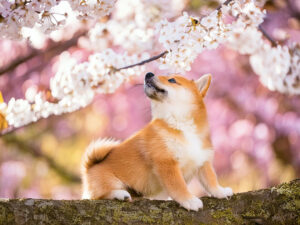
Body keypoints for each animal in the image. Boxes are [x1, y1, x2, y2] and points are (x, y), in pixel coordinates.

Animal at [81, 72, 233, 211]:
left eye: (172, 80)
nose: (148, 74)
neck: (180, 125)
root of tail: (90, 167)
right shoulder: (166, 163)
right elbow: (178, 186)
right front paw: (189, 200)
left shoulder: (203, 161)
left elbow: (210, 181)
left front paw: (220, 192)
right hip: (107, 182)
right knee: (99, 195)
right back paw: (119, 194)